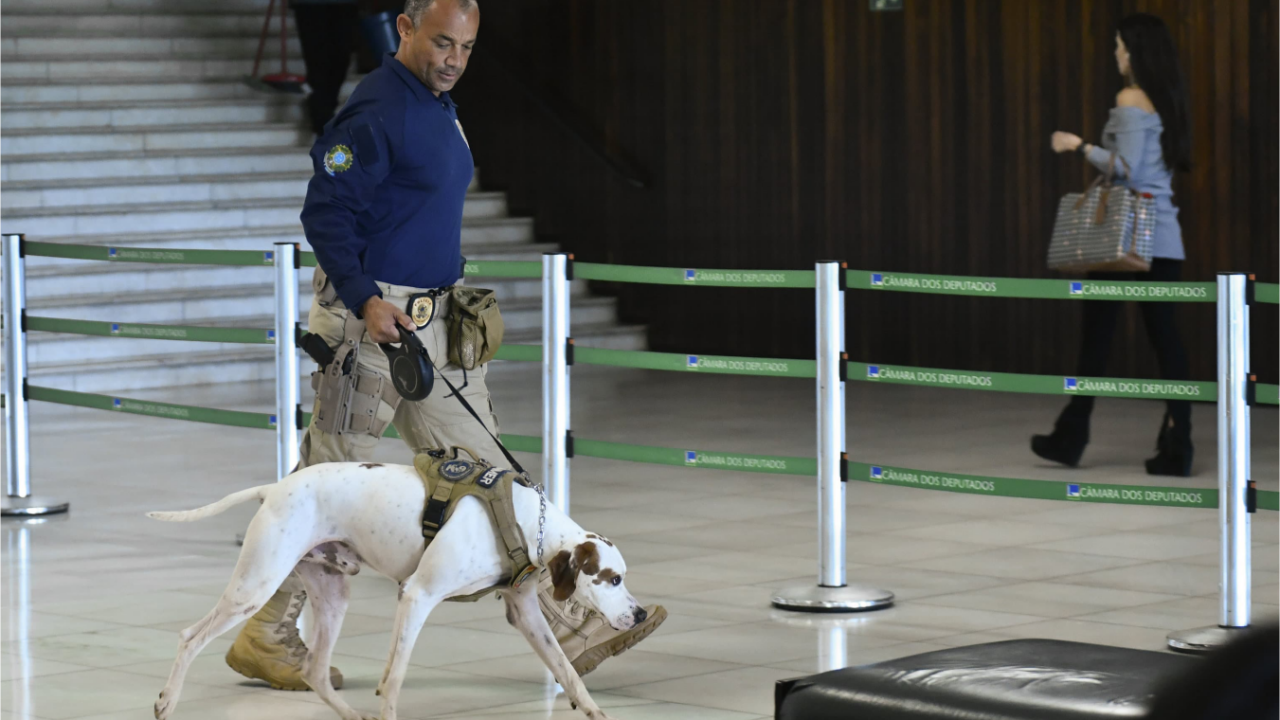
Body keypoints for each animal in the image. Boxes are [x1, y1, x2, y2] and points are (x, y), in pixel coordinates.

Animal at [149, 458, 645, 717]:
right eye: (613, 579)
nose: (639, 613)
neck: (524, 522)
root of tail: (273, 488)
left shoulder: (525, 612)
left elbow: (565, 668)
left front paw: (592, 710)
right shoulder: (417, 596)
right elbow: (395, 677)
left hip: (332, 598)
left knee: (314, 672)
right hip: (254, 586)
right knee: (190, 637)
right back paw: (167, 701)